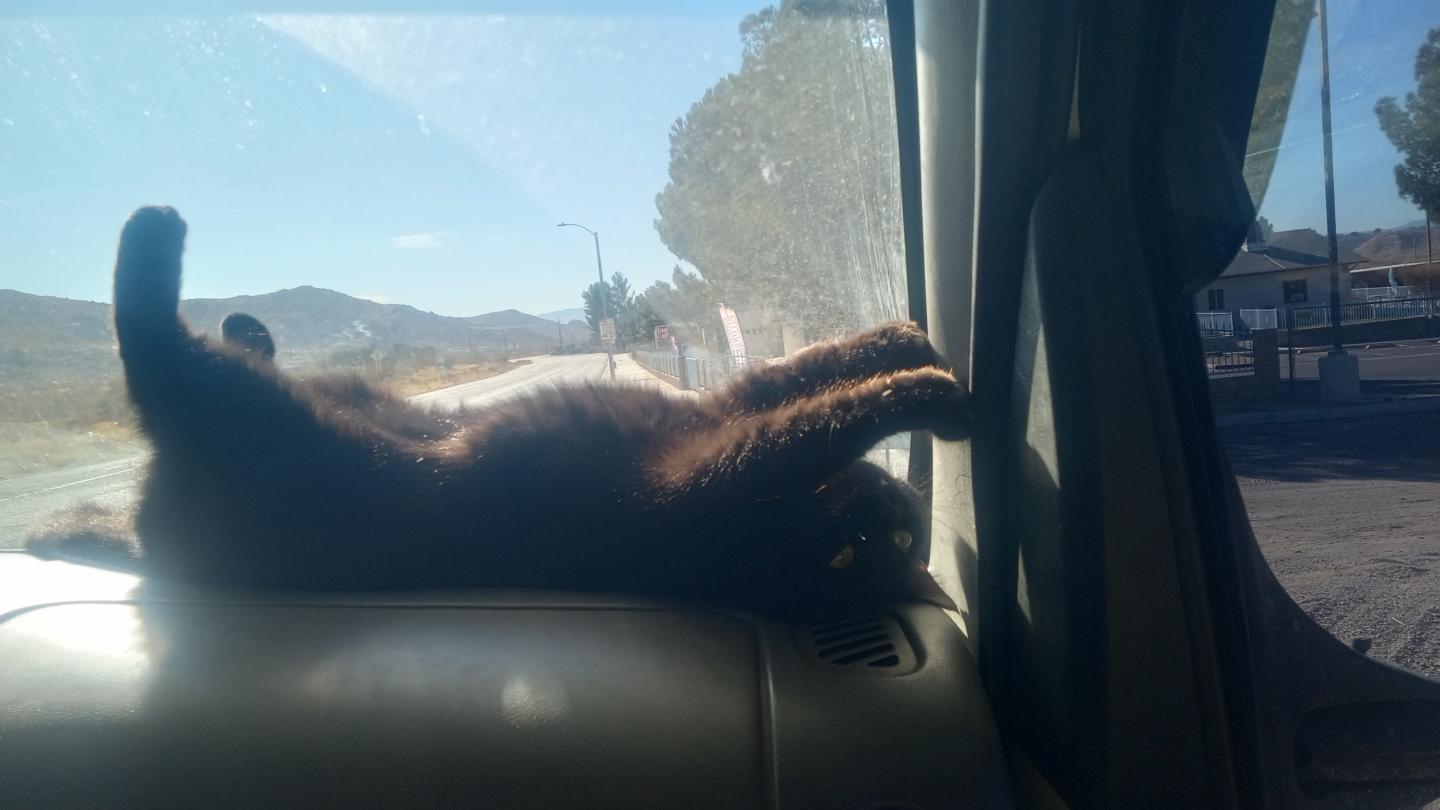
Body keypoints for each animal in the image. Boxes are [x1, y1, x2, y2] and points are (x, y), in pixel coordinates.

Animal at [29, 206, 971, 614]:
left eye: (864, 556)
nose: (895, 518)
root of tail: (155, 539)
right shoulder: (709, 415)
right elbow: (803, 375)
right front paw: (911, 348)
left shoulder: (707, 472)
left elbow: (812, 419)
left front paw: (929, 394)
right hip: (316, 400)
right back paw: (242, 320)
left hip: (256, 421)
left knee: (158, 354)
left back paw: (158, 234)